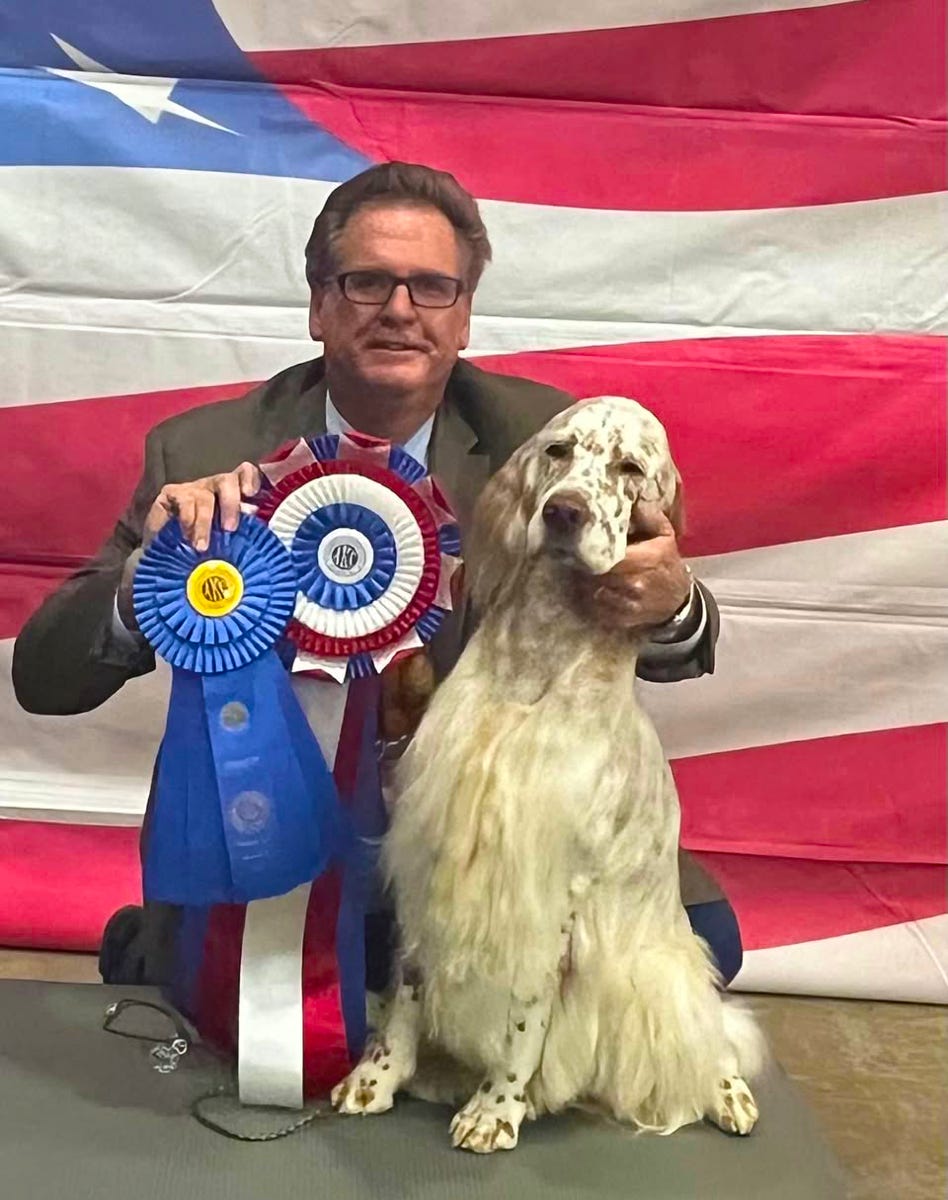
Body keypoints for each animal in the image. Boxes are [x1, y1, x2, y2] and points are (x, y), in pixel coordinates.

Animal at [332, 396, 764, 1151]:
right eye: (560, 451)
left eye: (629, 469)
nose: (565, 512)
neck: (533, 666)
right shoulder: (429, 849)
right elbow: (410, 986)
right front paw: (376, 1077)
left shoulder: (553, 885)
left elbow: (525, 1018)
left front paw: (496, 1108)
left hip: (662, 961)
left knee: (710, 1031)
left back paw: (727, 1092)